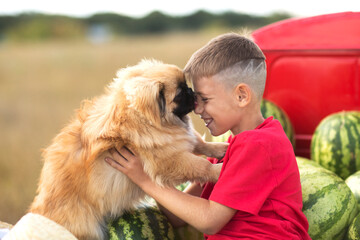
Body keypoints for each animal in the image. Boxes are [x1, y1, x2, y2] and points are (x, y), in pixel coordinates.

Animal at [29, 59, 226, 239]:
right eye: (179, 94)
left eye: (186, 86)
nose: (192, 92)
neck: (142, 120)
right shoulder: (169, 160)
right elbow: (201, 166)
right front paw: (218, 171)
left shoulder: (178, 143)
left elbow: (201, 144)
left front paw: (222, 148)